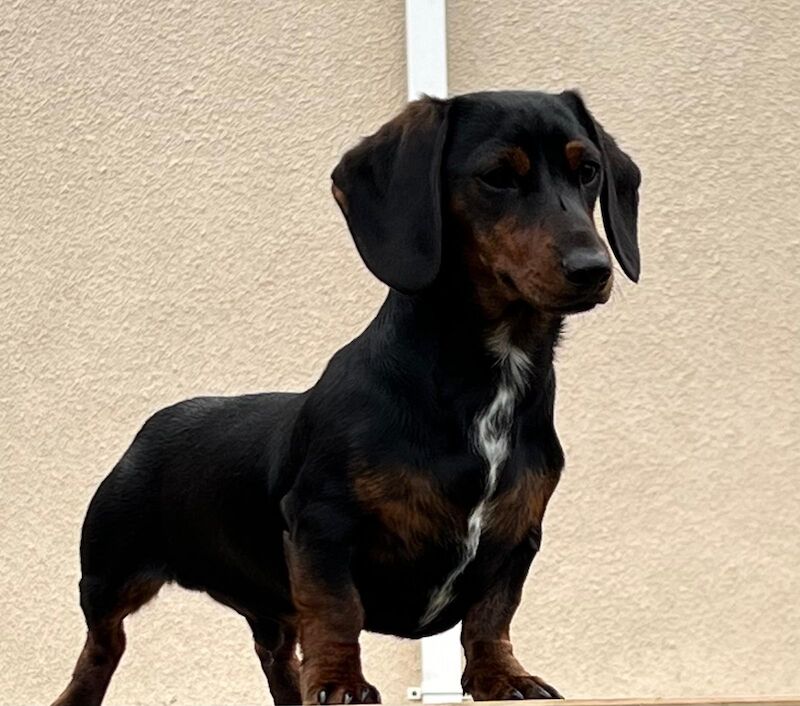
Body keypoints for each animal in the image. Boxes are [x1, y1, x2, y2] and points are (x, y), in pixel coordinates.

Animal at [53, 91, 640, 704]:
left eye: (588, 171)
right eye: (497, 176)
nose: (593, 269)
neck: (488, 379)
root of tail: (153, 425)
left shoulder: (518, 539)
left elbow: (491, 615)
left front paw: (502, 676)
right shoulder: (321, 525)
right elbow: (337, 610)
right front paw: (340, 682)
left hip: (262, 605)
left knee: (275, 654)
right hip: (108, 571)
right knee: (103, 645)